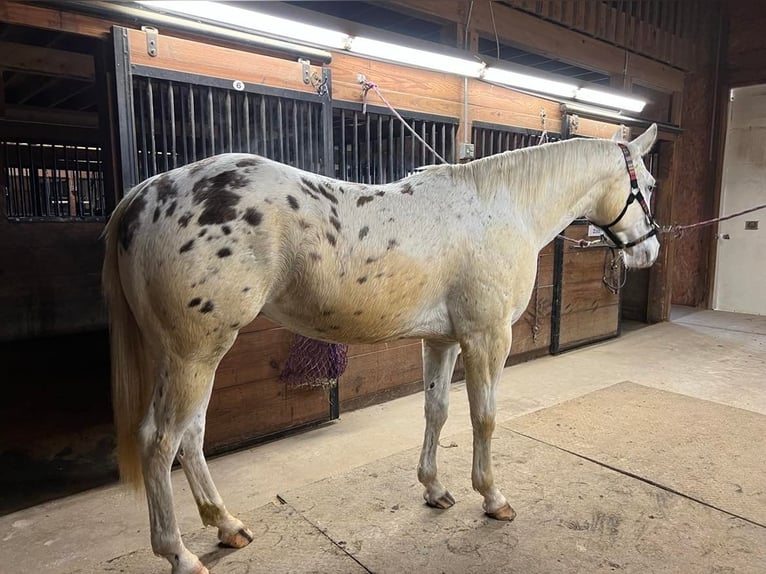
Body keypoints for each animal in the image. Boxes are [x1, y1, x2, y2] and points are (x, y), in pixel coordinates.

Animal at [102, 124, 664, 572]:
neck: (501, 209)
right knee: (160, 441)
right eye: (650, 185)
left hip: (193, 357)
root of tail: (144, 194)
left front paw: (435, 490)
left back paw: (227, 525)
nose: (651, 251)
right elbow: (483, 417)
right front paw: (492, 497)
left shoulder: (443, 340)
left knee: (190, 437)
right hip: (194, 355)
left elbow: (436, 411)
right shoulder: (486, 338)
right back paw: (180, 554)